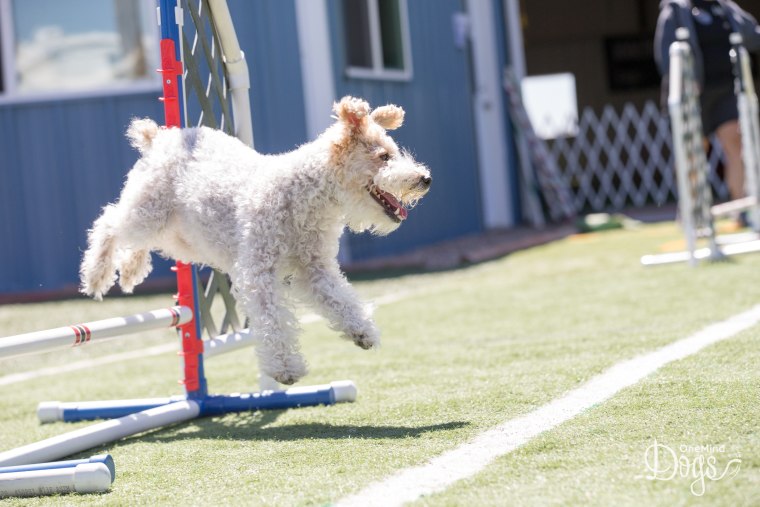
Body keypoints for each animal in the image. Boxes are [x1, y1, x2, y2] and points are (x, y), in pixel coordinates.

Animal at [81, 95, 434, 384]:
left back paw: (129, 271)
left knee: (138, 241)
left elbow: (341, 299)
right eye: (384, 156)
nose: (426, 179)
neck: (304, 195)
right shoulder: (259, 271)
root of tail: (158, 137)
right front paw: (285, 368)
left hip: (181, 234)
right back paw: (97, 275)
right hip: (148, 213)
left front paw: (362, 331)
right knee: (108, 222)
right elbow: (272, 319)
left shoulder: (315, 269)